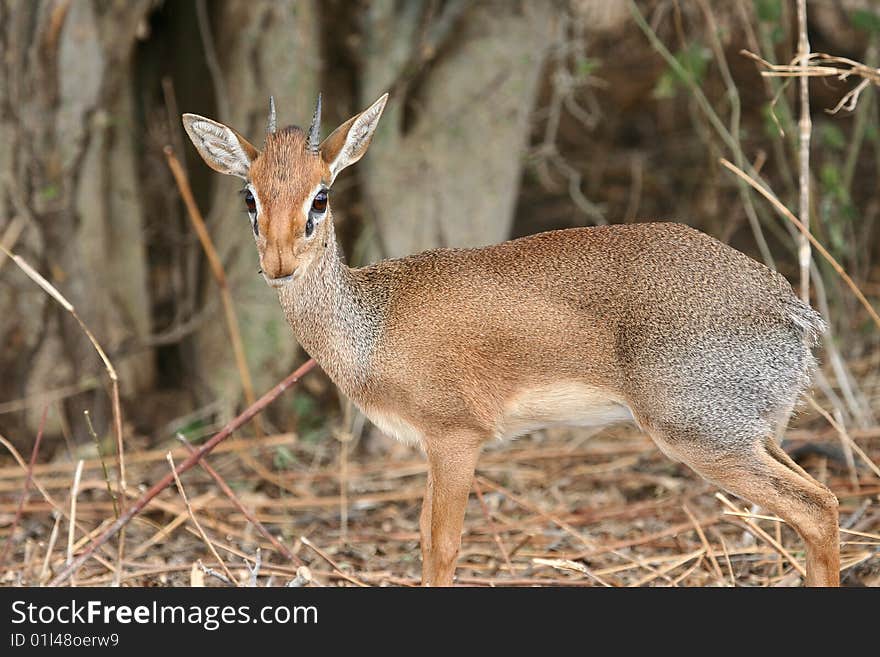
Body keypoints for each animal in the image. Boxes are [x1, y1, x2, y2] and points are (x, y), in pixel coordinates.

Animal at [184, 91, 840, 584]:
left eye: (320, 197)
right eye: (250, 196)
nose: (277, 264)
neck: (371, 326)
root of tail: (793, 310)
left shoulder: (456, 438)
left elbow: (443, 546)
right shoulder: (431, 447)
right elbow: (424, 539)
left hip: (702, 436)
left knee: (817, 507)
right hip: (756, 432)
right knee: (821, 502)